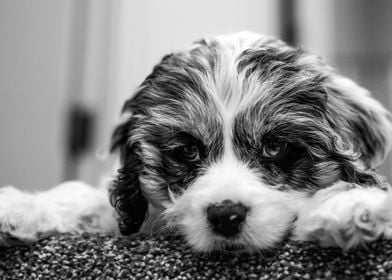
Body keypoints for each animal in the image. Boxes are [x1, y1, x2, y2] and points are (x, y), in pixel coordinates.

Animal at [0, 31, 392, 253]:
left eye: (276, 147)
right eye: (188, 150)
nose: (225, 216)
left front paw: (352, 207)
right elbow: (87, 194)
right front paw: (22, 206)